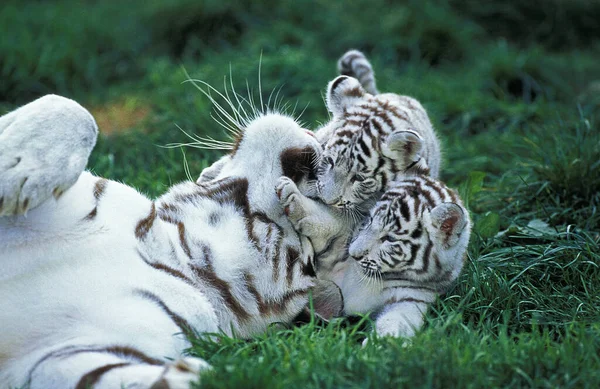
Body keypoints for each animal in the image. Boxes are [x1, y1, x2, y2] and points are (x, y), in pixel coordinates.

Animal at [0, 94, 336, 388]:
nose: (312, 155)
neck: (180, 252)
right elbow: (73, 109)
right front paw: (18, 170)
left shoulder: (59, 357)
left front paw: (191, 375)